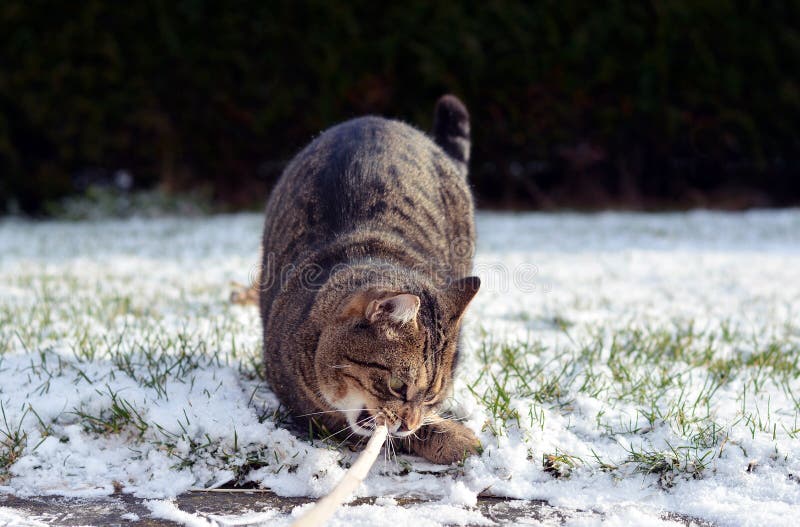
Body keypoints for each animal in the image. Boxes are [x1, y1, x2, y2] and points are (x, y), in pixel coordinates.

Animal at [260, 94, 478, 462]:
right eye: (398, 386)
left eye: (430, 397)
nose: (408, 423)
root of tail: (376, 119)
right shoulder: (312, 414)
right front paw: (456, 438)